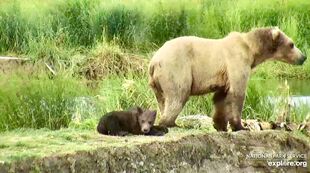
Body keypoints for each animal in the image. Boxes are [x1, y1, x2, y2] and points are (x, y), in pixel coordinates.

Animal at [149, 27, 306, 131]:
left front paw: (220, 125)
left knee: (162, 100)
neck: (252, 50)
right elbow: (237, 93)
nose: (303, 57)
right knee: (178, 95)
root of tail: (154, 60)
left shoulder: (224, 76)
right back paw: (171, 123)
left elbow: (221, 98)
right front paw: (241, 126)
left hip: (157, 82)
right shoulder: (237, 61)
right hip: (177, 68)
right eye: (292, 44)